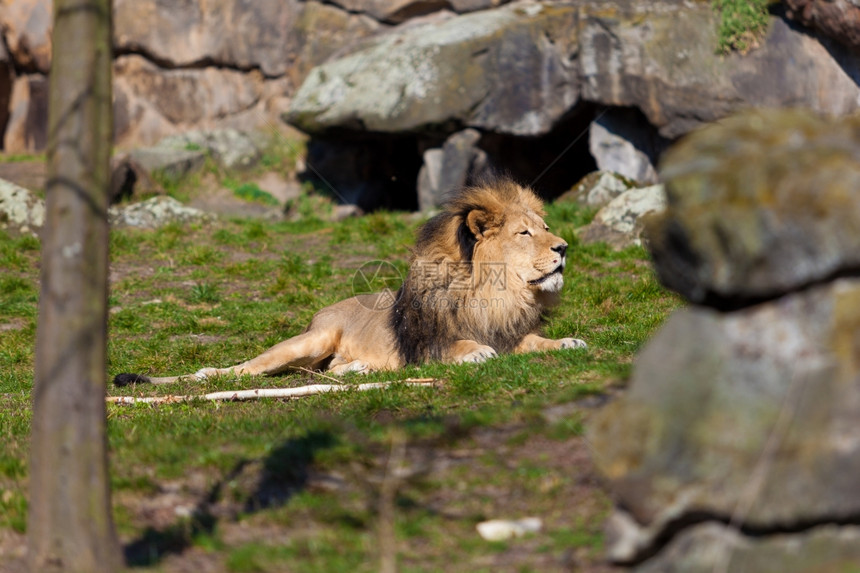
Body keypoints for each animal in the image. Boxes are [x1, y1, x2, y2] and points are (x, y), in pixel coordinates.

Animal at [112, 177, 584, 386]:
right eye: (524, 233)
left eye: (545, 227)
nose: (563, 247)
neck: (496, 292)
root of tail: (326, 309)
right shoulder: (425, 346)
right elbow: (459, 346)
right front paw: (476, 352)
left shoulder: (511, 332)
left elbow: (536, 342)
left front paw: (568, 342)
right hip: (308, 342)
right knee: (245, 368)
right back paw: (208, 373)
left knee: (334, 368)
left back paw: (358, 366)